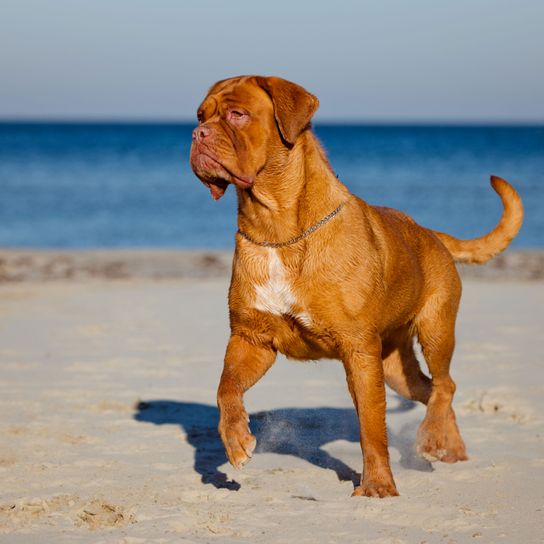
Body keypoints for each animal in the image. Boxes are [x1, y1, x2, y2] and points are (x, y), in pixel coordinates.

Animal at [188, 75, 524, 498]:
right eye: (201, 116)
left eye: (237, 114)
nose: (198, 134)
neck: (276, 228)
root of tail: (431, 233)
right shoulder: (251, 339)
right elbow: (226, 387)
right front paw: (235, 442)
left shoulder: (359, 351)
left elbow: (371, 427)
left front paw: (378, 485)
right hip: (396, 368)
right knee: (432, 390)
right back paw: (451, 447)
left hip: (435, 330)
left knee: (445, 383)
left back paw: (431, 439)